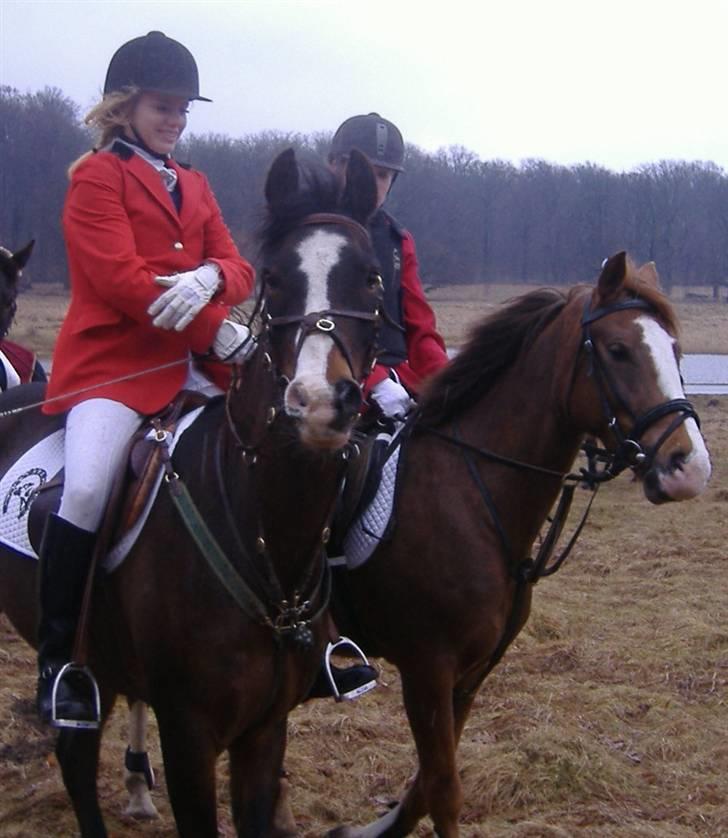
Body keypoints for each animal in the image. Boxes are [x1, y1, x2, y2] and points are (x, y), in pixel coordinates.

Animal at [0, 148, 384, 836]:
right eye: (274, 279)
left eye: (370, 278)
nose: (318, 403)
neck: (265, 530)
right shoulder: (187, 735)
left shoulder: (265, 731)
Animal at [326, 253, 716, 836]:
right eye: (618, 350)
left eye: (675, 349)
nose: (688, 467)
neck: (467, 492)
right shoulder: (427, 669)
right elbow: (443, 791)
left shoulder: (469, 674)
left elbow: (424, 786)